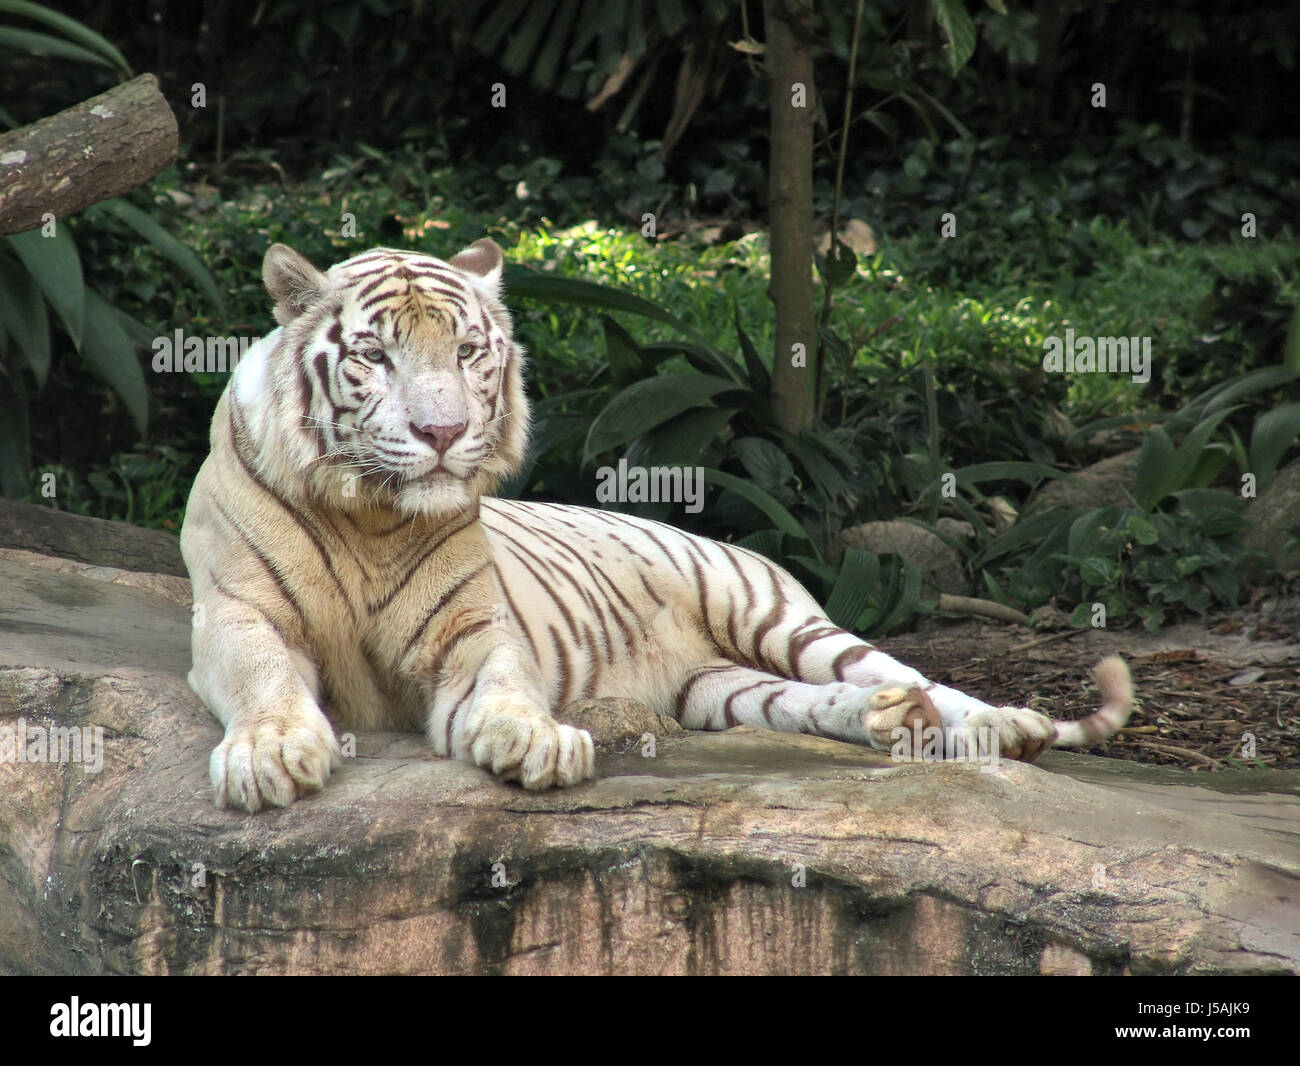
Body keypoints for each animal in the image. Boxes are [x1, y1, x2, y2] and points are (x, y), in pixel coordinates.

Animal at [178, 237, 1133, 811]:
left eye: (468, 351)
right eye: (375, 356)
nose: (443, 433)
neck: (374, 517)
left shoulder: (475, 627)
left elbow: (505, 683)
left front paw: (532, 740)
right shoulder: (236, 612)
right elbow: (266, 676)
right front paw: (270, 754)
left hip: (777, 617)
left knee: (909, 670)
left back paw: (995, 726)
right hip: (719, 690)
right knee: (827, 700)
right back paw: (891, 722)